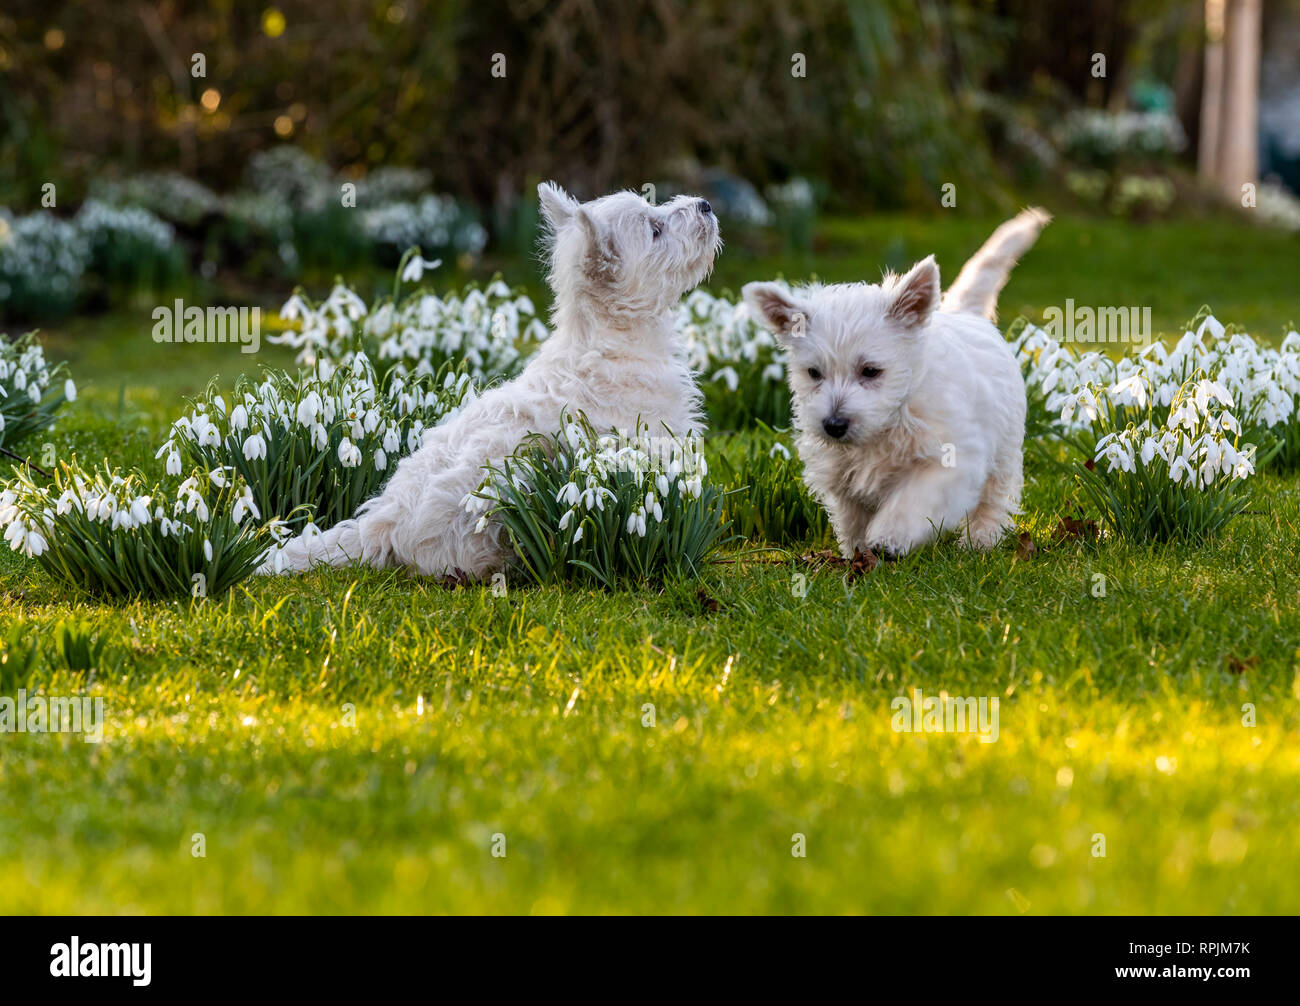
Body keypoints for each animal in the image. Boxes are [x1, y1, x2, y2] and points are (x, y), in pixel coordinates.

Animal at [743, 210, 1045, 558]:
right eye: (814, 373)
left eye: (871, 371)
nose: (834, 425)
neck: (889, 421)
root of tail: (965, 314)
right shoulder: (842, 475)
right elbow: (852, 516)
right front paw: (858, 552)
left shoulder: (948, 461)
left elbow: (910, 503)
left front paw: (888, 537)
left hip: (1005, 449)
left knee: (994, 498)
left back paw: (980, 540)